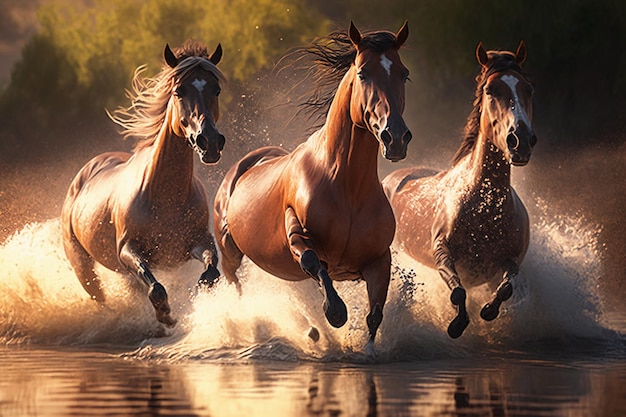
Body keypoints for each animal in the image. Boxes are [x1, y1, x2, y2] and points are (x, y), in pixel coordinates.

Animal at [60, 39, 224, 324]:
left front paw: (196, 298)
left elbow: (210, 274)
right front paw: (166, 316)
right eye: (179, 90)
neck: (165, 196)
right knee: (100, 296)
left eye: (216, 89)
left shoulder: (199, 242)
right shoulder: (128, 250)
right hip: (83, 266)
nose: (210, 142)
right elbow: (156, 288)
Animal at [212, 21, 412, 344]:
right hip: (230, 253)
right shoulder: (296, 232)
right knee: (235, 284)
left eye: (403, 73)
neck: (346, 186)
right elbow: (312, 264)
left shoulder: (378, 260)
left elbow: (374, 316)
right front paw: (335, 312)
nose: (395, 137)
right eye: (363, 73)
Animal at [382, 40, 532, 336]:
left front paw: (488, 311)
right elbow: (457, 292)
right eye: (490, 90)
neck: (484, 206)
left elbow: (506, 288)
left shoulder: (512, 259)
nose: (521, 140)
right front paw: (457, 324)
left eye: (527, 88)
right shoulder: (442, 253)